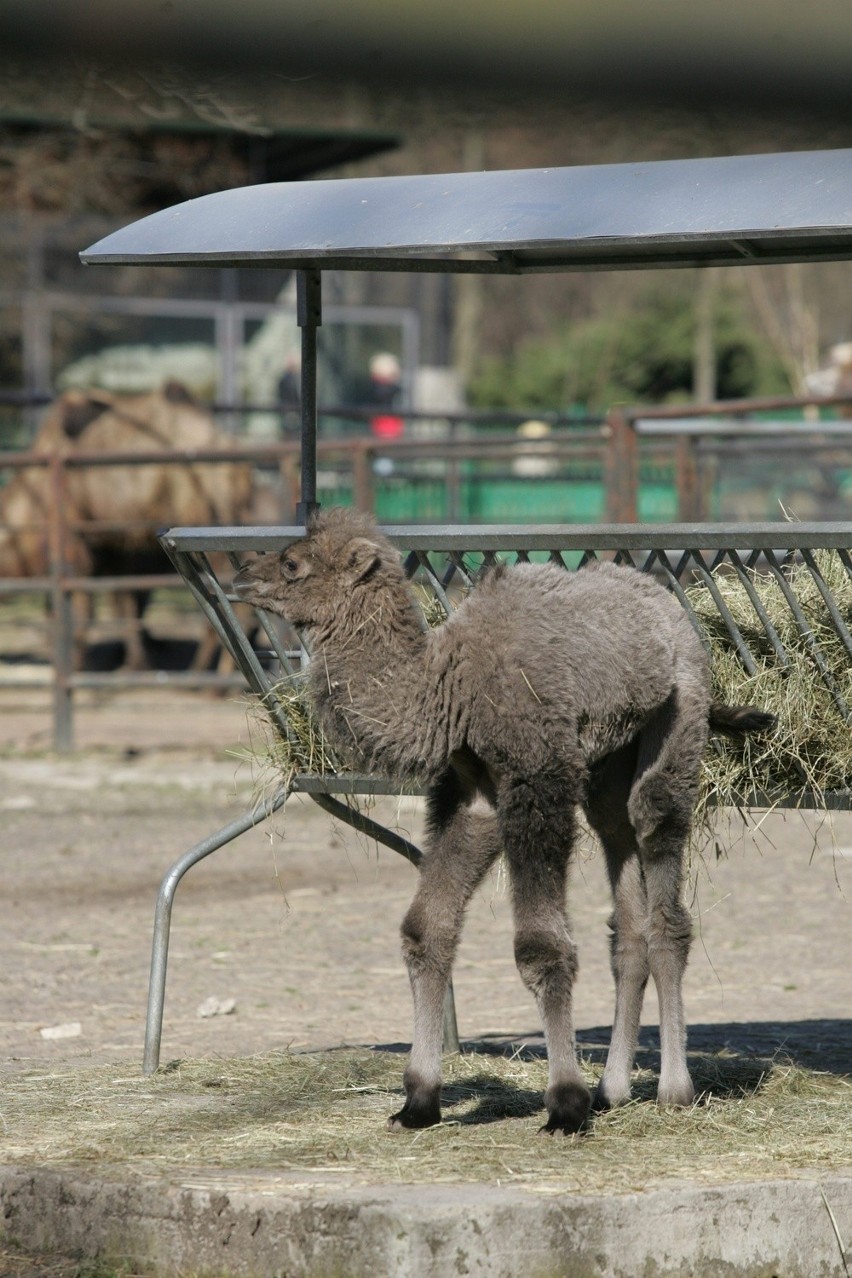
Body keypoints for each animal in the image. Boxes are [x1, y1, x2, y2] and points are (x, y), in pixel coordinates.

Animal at [236, 503, 776, 1134]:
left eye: (293, 563)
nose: (242, 574)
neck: (451, 688)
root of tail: (675, 614)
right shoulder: (476, 797)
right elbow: (425, 930)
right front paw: (418, 1101)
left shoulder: (536, 782)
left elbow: (540, 947)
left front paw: (564, 1104)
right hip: (605, 768)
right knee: (626, 912)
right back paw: (613, 1090)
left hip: (677, 722)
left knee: (661, 874)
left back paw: (674, 1090)